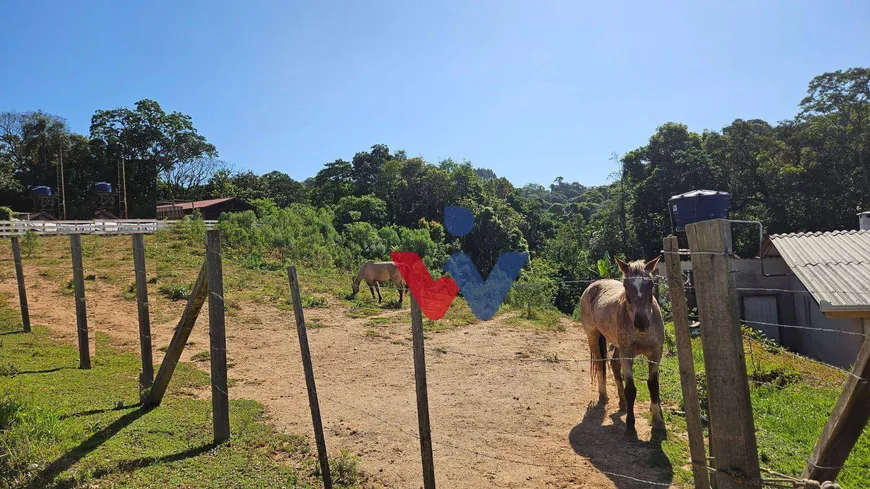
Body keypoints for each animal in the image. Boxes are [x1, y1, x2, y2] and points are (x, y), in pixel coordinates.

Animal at [584, 255, 672, 434]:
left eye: (651, 284)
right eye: (625, 285)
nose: (641, 323)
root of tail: (593, 286)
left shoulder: (655, 354)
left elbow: (653, 385)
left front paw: (658, 421)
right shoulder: (627, 355)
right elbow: (631, 389)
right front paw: (631, 425)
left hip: (617, 346)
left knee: (614, 365)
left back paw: (623, 402)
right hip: (593, 336)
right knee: (600, 364)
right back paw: (603, 396)